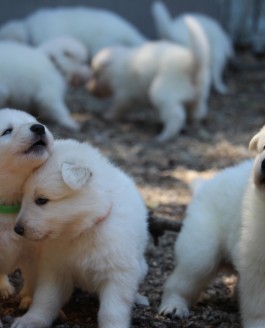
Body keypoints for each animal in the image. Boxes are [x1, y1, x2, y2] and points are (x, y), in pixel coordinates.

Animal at [11, 138, 148, 328]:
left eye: (42, 200)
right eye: (22, 196)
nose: (17, 229)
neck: (84, 229)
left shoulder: (118, 272)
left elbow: (112, 310)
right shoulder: (54, 267)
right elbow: (45, 298)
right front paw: (31, 320)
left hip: (141, 267)